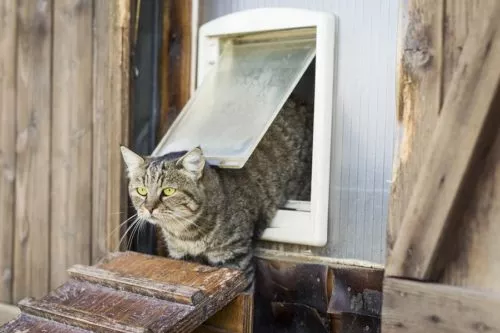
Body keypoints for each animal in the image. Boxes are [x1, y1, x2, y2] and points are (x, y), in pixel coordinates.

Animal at [120, 94, 312, 286]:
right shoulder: (180, 256)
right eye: (142, 191)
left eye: (168, 191)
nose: (149, 208)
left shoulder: (235, 258)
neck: (185, 233)